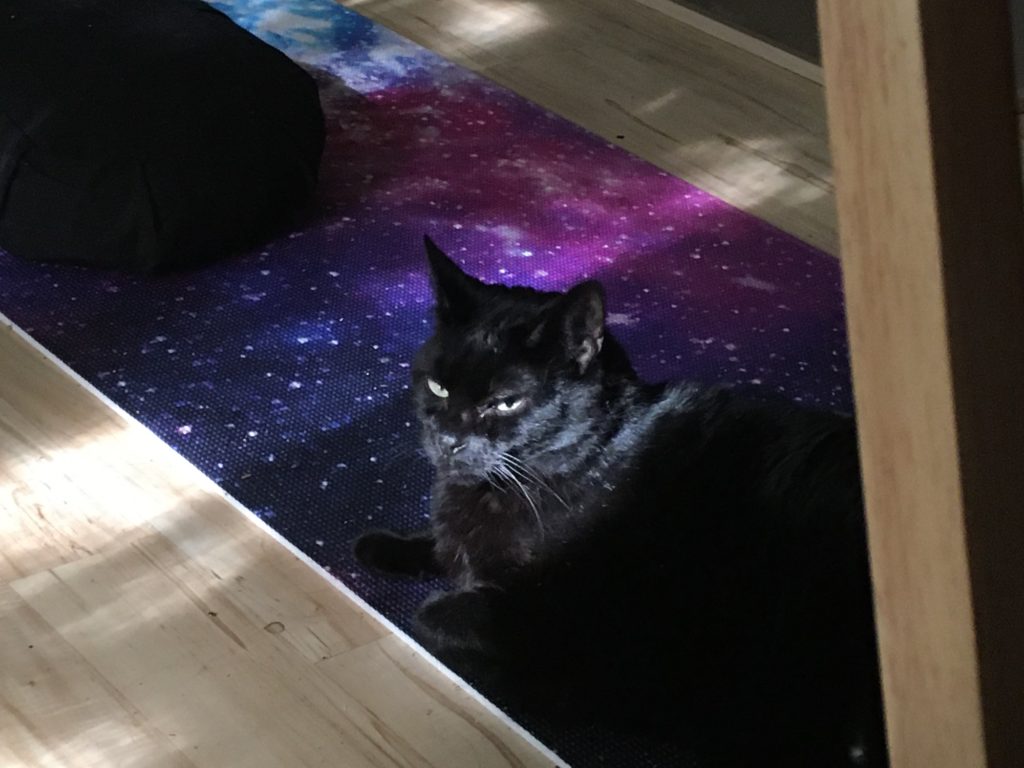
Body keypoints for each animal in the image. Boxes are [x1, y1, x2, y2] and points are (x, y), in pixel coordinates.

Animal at [356, 237, 884, 765]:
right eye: (437, 386)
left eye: (507, 402)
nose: (447, 440)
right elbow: (440, 544)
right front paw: (386, 544)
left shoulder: (562, 623)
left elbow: (436, 614)